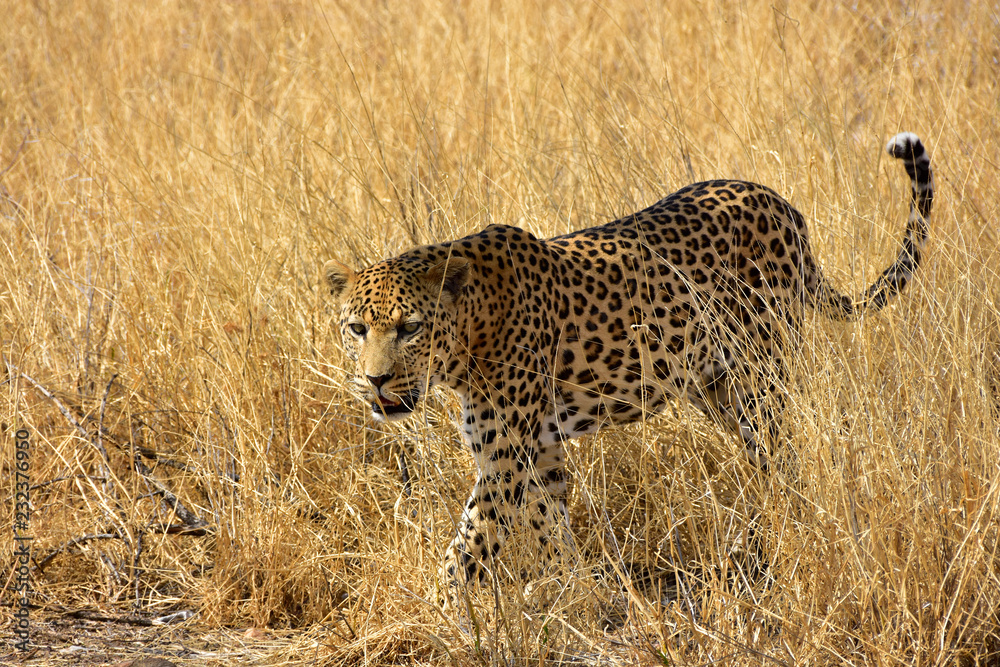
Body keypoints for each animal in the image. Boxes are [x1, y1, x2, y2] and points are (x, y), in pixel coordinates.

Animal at [324, 133, 932, 588]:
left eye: (410, 328)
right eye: (357, 328)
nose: (376, 382)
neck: (472, 326)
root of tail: (781, 203)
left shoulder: (505, 457)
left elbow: (466, 547)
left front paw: (444, 613)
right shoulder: (537, 453)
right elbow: (549, 529)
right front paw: (576, 594)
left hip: (762, 371)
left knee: (785, 451)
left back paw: (785, 535)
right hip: (717, 389)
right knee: (771, 457)